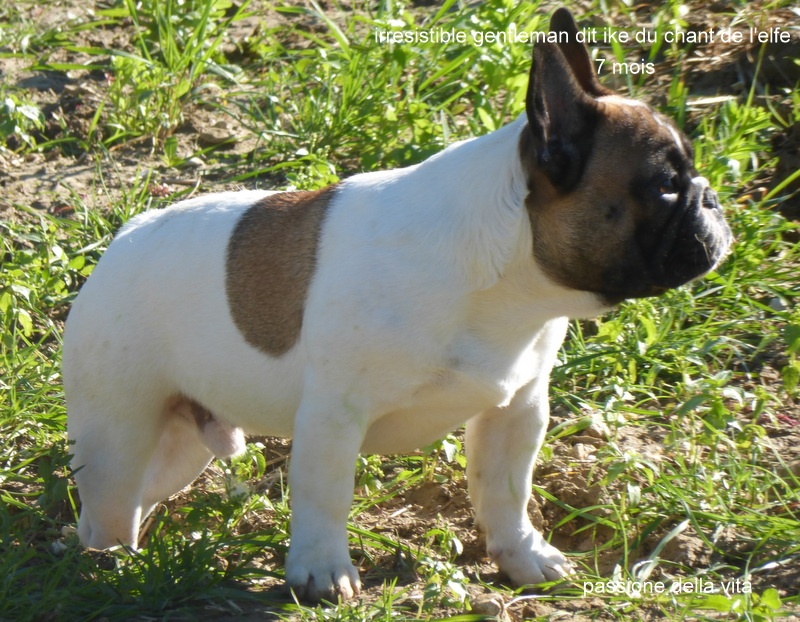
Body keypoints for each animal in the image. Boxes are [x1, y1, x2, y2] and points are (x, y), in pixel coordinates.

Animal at [65, 8, 732, 604]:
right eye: (664, 186)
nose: (712, 198)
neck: (505, 281)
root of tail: (122, 239)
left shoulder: (517, 409)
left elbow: (506, 491)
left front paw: (522, 558)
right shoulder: (335, 415)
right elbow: (325, 496)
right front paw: (321, 574)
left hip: (180, 444)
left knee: (139, 493)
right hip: (119, 432)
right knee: (106, 507)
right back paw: (116, 569)